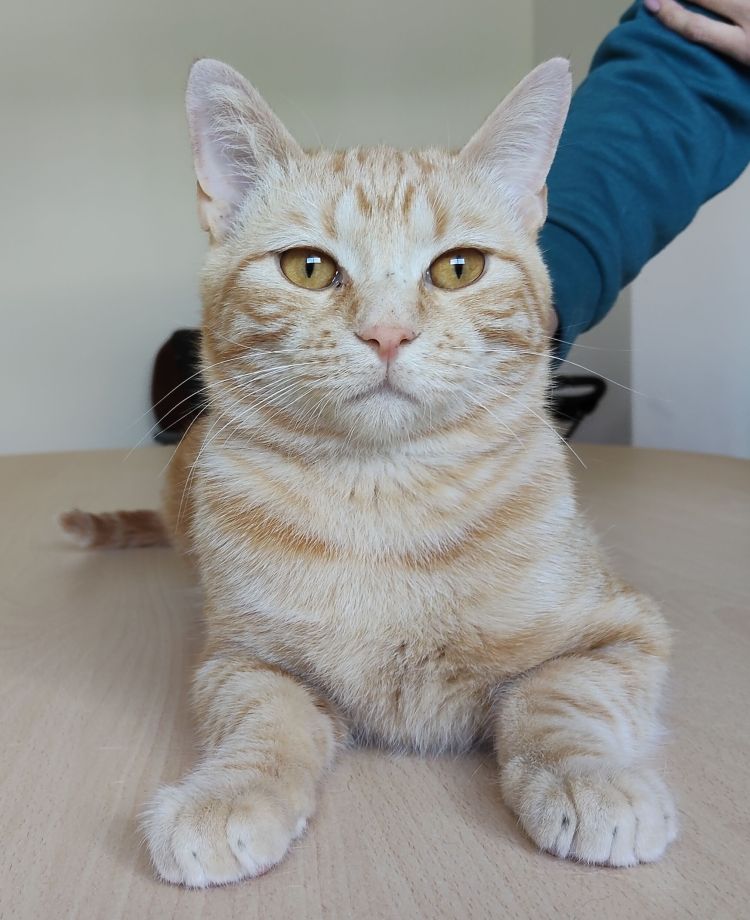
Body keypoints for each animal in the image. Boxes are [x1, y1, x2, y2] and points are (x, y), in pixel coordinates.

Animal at [60, 56, 676, 887]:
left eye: (458, 268)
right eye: (308, 267)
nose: (387, 333)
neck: (385, 503)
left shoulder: (620, 633)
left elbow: (556, 701)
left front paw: (589, 778)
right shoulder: (243, 658)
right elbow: (263, 723)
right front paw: (229, 795)